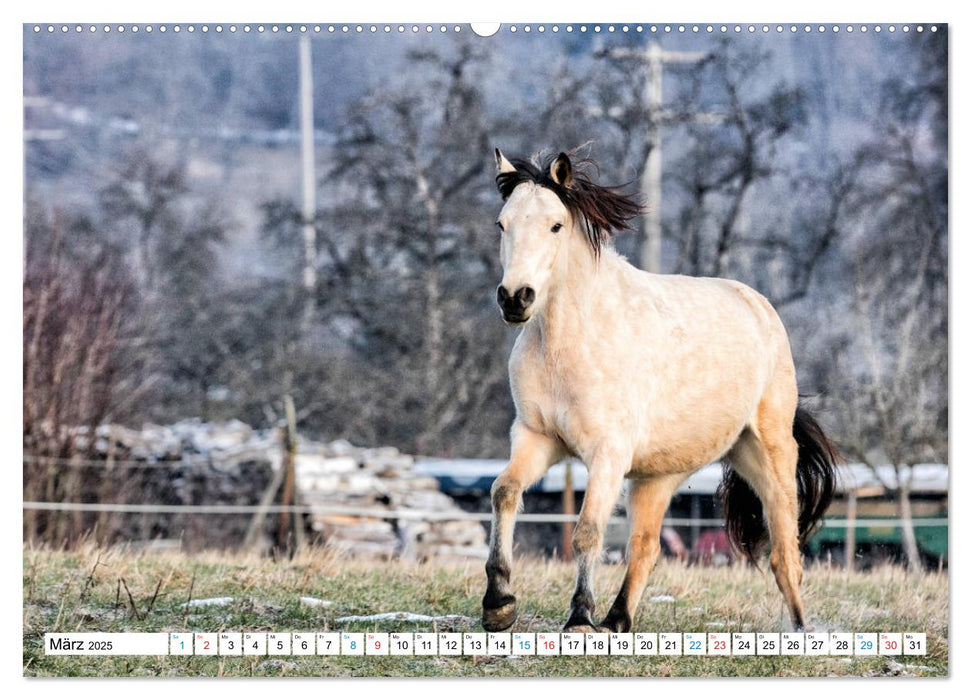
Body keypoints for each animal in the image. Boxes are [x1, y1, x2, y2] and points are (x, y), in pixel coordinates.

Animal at [482, 148, 840, 636]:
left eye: (556, 225)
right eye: (502, 224)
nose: (515, 298)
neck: (569, 341)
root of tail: (758, 306)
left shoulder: (607, 454)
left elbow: (587, 531)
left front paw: (579, 618)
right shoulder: (537, 438)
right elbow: (504, 492)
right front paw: (498, 604)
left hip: (767, 452)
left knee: (785, 552)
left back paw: (801, 629)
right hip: (659, 476)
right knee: (646, 547)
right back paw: (616, 621)